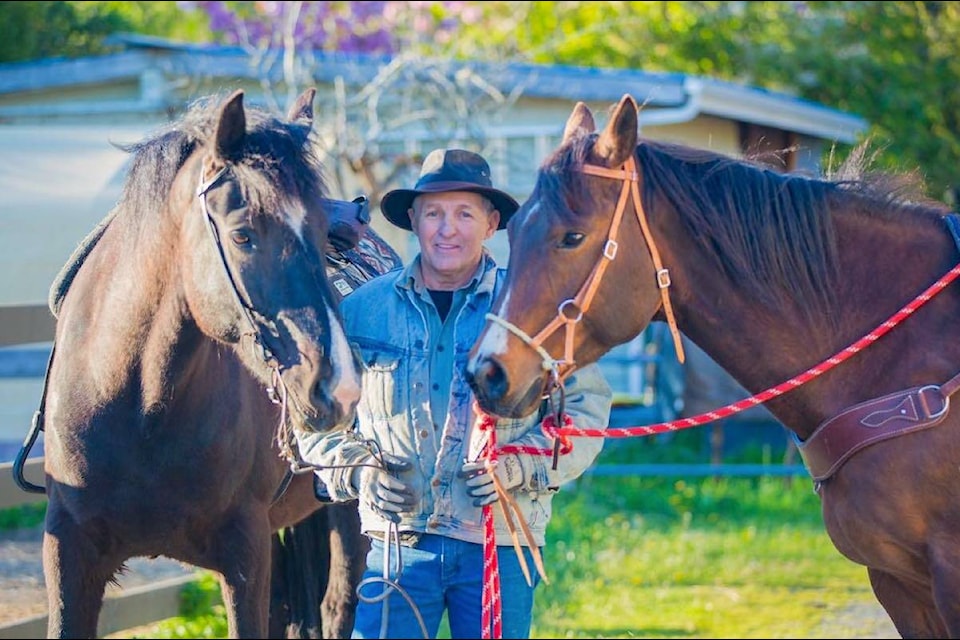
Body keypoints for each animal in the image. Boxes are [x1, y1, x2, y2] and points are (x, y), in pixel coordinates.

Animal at [32, 87, 364, 636]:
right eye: (243, 235)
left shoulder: (244, 552)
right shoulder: (68, 548)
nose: (338, 385)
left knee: (338, 604)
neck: (138, 408)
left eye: (318, 233)